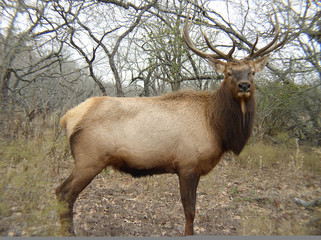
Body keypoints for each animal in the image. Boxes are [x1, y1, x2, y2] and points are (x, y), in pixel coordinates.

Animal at [55, 9, 288, 236]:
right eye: (229, 73)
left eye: (252, 72)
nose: (244, 85)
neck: (216, 127)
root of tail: (68, 117)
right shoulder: (187, 164)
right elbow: (190, 211)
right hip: (89, 159)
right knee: (63, 193)